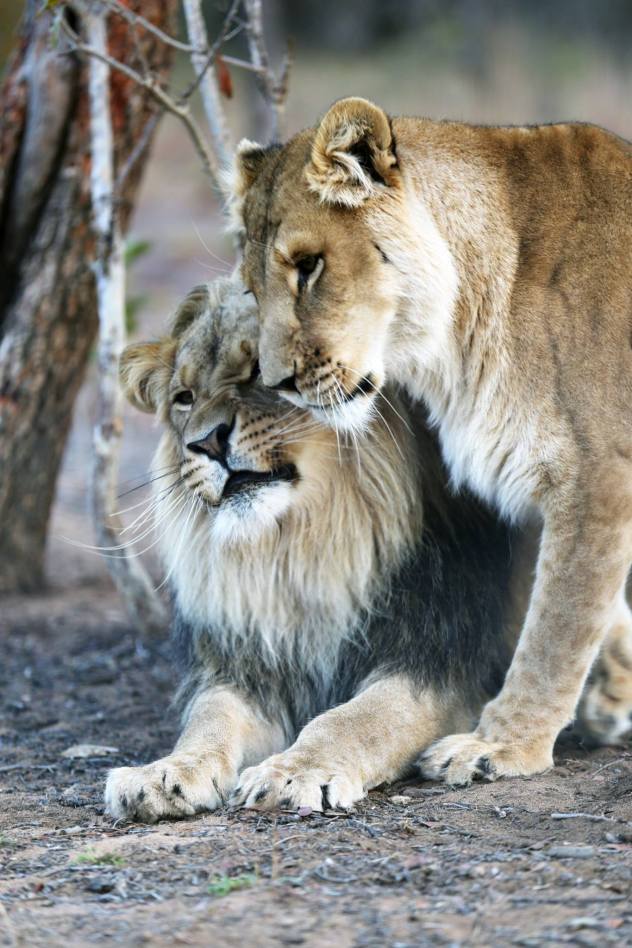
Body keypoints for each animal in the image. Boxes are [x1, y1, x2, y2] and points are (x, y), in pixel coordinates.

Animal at [104, 278, 522, 821]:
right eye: (183, 397)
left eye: (260, 372)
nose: (206, 443)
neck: (301, 550)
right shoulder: (246, 671)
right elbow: (208, 720)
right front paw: (162, 774)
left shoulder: (439, 665)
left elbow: (353, 719)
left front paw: (293, 772)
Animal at [231, 97, 632, 784]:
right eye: (253, 290)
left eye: (309, 267)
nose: (279, 382)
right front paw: (613, 689)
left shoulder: (597, 477)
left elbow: (555, 628)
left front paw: (499, 747)